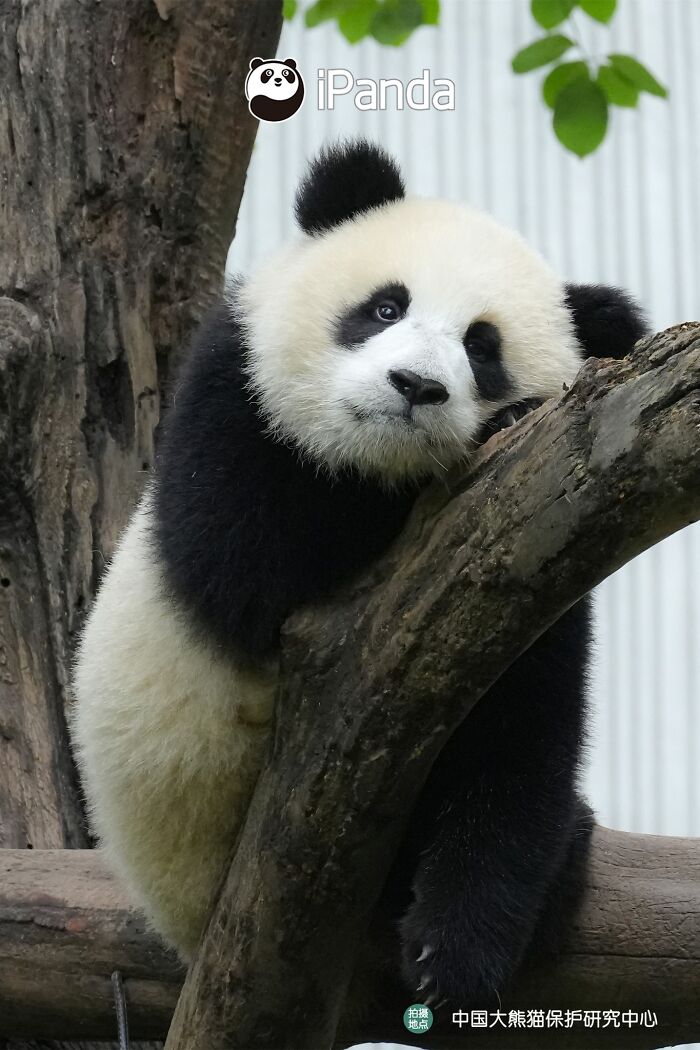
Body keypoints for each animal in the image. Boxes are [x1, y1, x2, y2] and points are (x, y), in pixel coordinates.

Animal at [71, 139, 647, 1005]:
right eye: (384, 308)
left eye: (483, 347)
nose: (415, 387)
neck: (381, 470)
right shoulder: (232, 400)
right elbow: (249, 564)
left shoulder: (532, 556)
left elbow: (522, 739)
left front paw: (455, 956)